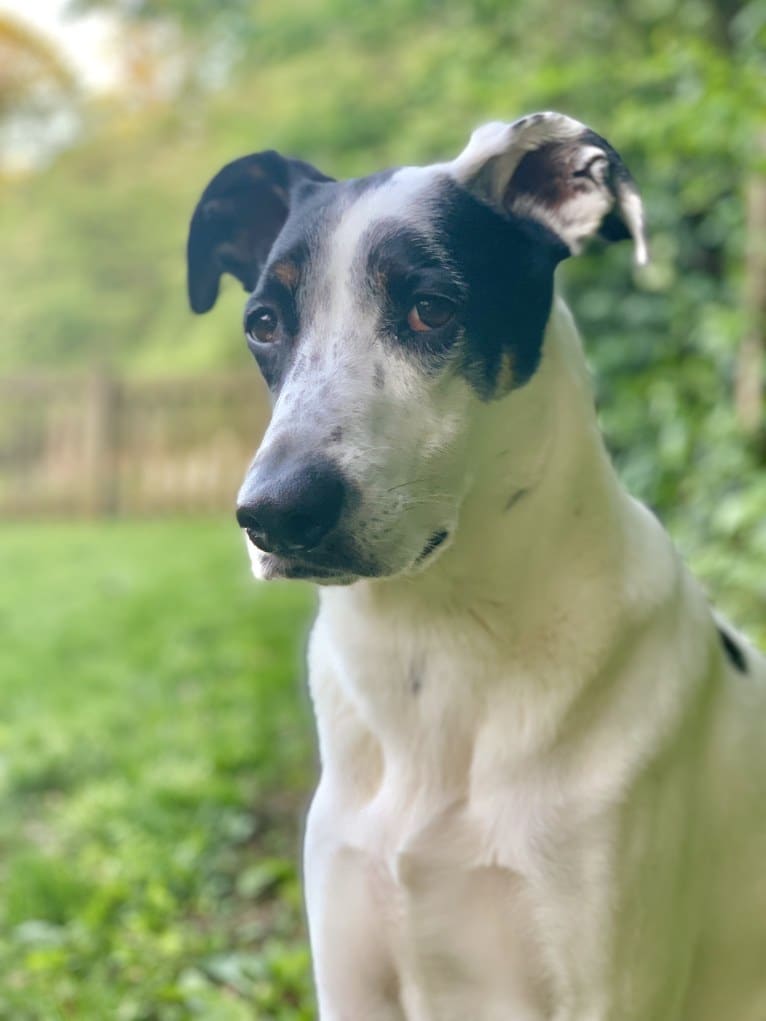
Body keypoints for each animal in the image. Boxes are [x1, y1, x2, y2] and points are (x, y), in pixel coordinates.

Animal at [187, 113, 766, 1021]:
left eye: (432, 307)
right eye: (264, 322)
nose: (276, 511)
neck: (438, 644)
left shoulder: (605, 984)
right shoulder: (351, 973)